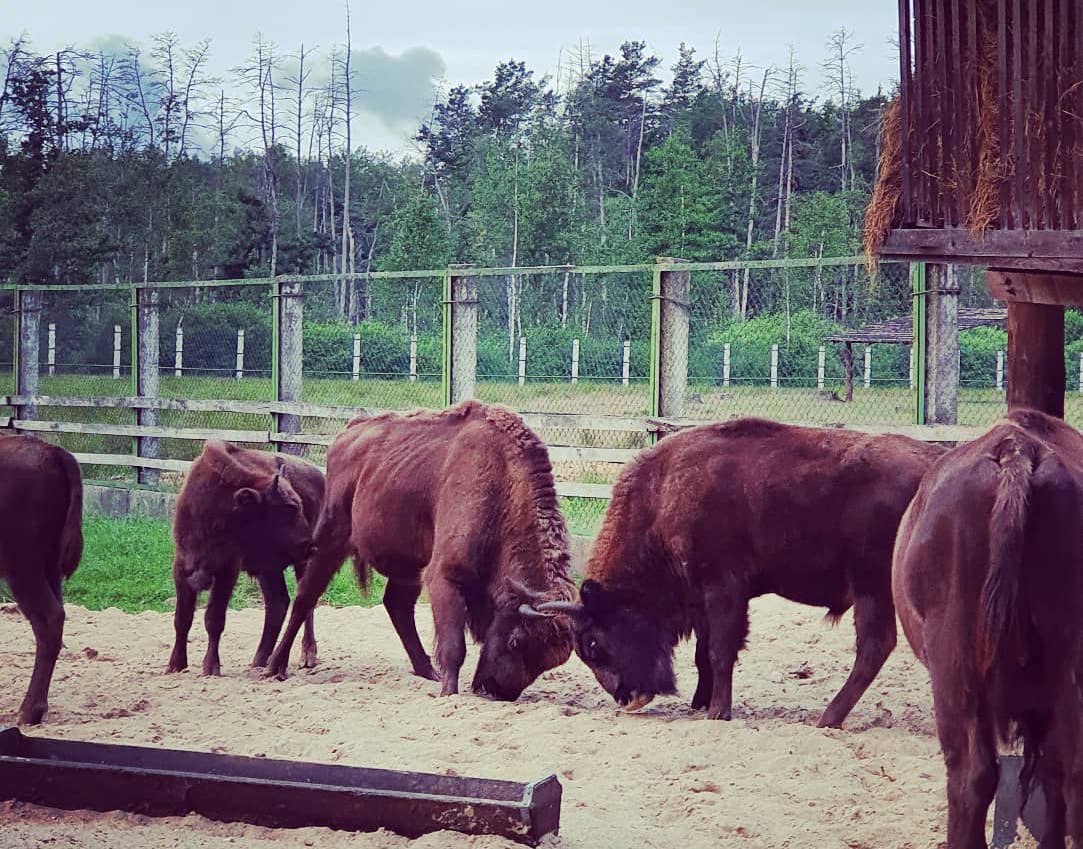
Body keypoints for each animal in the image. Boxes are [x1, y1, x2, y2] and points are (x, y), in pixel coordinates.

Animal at [164, 443, 324, 675]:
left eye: (298, 505)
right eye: (289, 508)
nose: (310, 545)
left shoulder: (227, 570)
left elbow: (214, 619)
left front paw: (211, 667)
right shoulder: (182, 567)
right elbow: (182, 618)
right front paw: (175, 665)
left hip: (299, 564)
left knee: (305, 603)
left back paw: (307, 656)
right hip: (269, 569)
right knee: (278, 603)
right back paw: (260, 660)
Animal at [264, 400, 576, 701]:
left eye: (548, 661)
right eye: (515, 640)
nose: (497, 691)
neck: (504, 484)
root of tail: (349, 432)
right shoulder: (444, 577)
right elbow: (454, 646)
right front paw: (449, 694)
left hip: (408, 563)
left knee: (397, 605)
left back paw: (427, 671)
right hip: (331, 538)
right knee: (305, 597)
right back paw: (274, 667)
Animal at [537, 418, 944, 727]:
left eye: (593, 642)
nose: (627, 697)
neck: (663, 493)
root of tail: (933, 464)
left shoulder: (723, 589)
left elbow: (720, 650)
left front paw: (717, 712)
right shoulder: (701, 597)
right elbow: (704, 653)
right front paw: (701, 703)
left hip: (870, 588)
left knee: (874, 646)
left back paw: (827, 718)